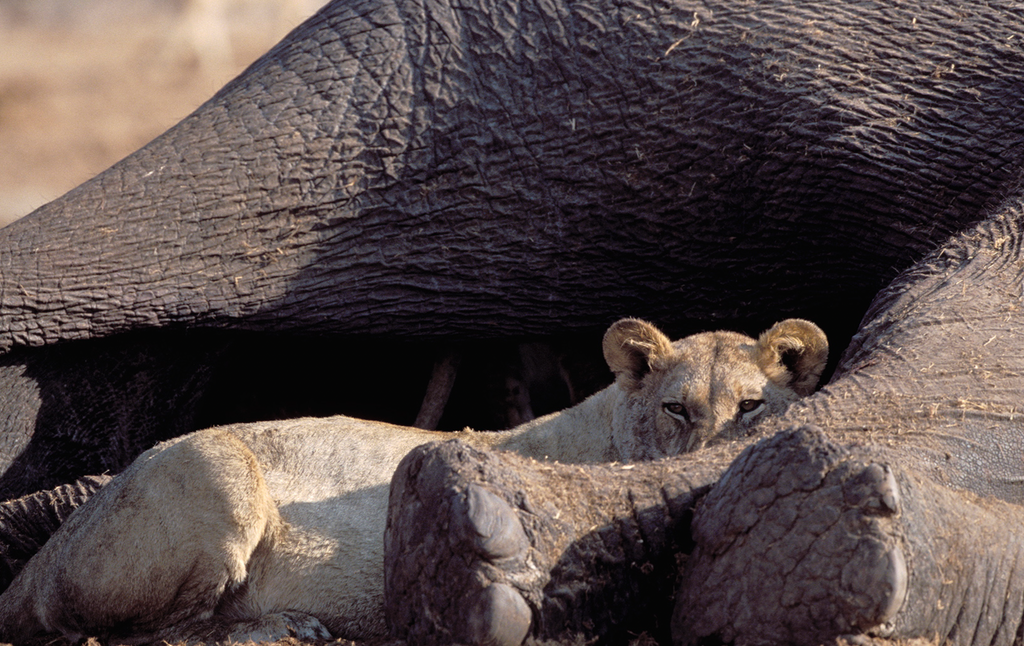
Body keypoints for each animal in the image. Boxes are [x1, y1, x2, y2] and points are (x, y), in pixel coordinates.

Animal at [0, 318, 827, 644]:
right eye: (677, 408)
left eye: (752, 405)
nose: (711, 450)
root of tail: (38, 561)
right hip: (218, 472)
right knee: (138, 631)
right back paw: (281, 627)